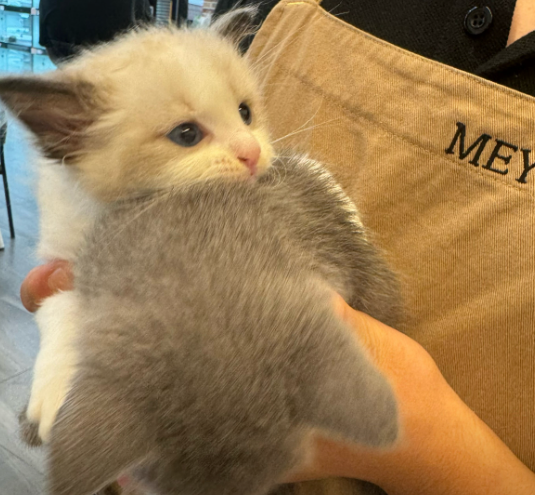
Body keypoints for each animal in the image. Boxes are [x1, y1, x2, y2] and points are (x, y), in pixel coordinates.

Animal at [0, 8, 401, 495]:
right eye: (187, 134)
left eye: (245, 113)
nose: (251, 153)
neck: (109, 209)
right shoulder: (62, 257)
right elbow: (60, 307)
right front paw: (52, 393)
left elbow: (317, 178)